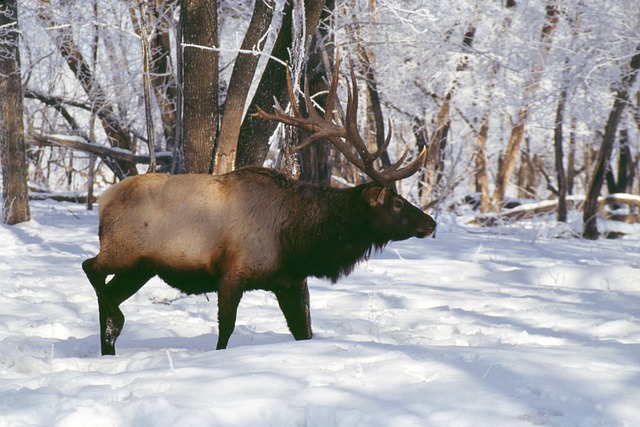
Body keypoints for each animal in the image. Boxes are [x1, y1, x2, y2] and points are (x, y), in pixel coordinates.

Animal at [82, 55, 436, 356]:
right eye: (396, 204)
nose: (431, 223)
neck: (299, 239)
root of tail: (103, 200)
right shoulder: (232, 273)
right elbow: (225, 331)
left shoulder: (290, 281)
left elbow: (303, 331)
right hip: (123, 251)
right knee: (90, 267)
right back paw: (115, 322)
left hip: (141, 267)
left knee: (107, 290)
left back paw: (110, 343)